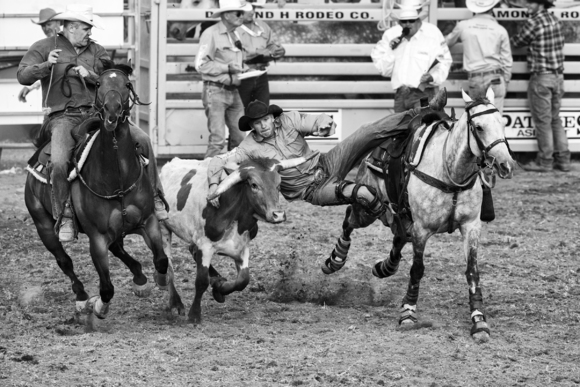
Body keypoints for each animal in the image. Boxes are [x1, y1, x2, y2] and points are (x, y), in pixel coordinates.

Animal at [24, 63, 168, 318]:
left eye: (127, 84)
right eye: (99, 83)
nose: (112, 111)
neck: (117, 178)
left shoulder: (149, 221)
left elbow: (161, 260)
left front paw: (158, 281)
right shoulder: (97, 239)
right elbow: (107, 287)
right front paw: (99, 305)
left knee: (118, 248)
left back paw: (140, 279)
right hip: (43, 226)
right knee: (65, 261)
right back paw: (82, 297)